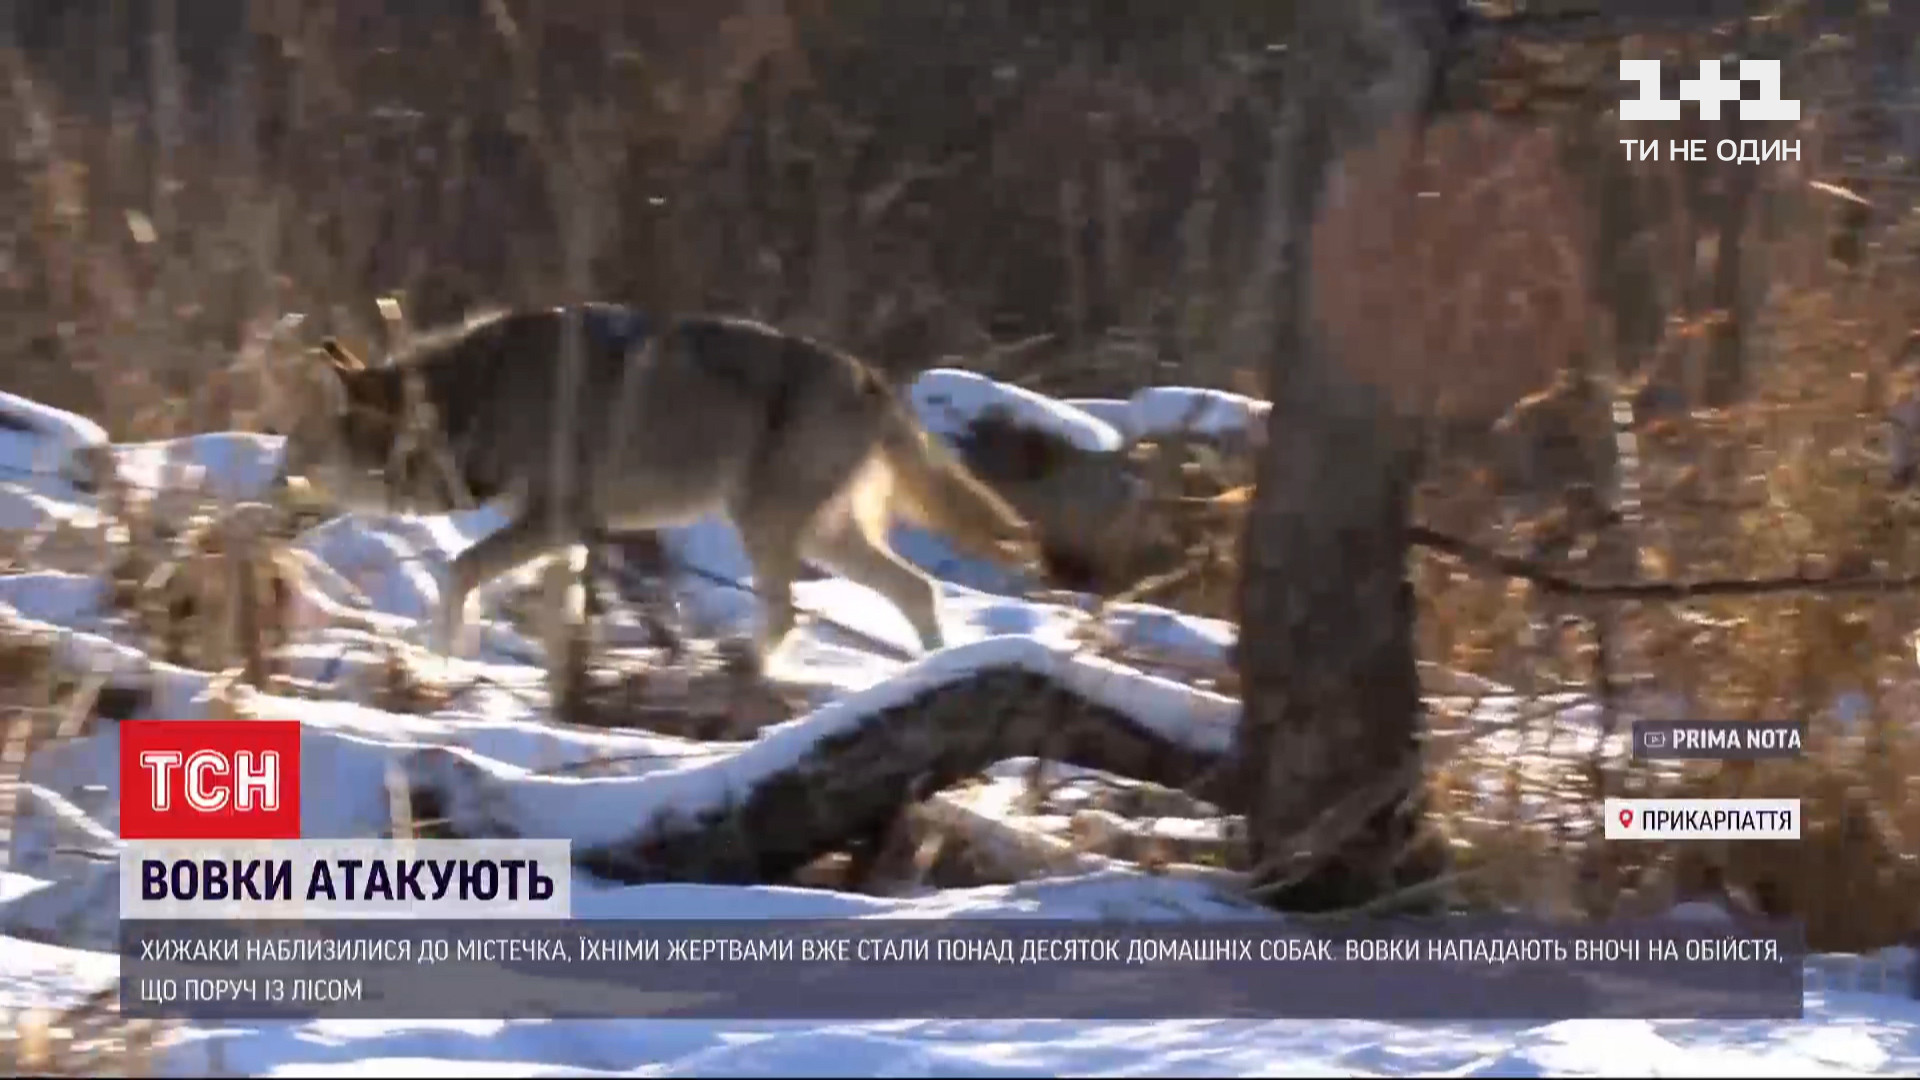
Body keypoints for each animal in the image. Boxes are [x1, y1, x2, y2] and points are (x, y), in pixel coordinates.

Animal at [264, 303, 1044, 664]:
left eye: (296, 458)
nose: (262, 497)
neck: (469, 404)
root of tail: (874, 379)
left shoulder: (554, 520)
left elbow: (457, 572)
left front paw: (444, 654)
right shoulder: (569, 535)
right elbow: (534, 600)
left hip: (767, 528)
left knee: (791, 616)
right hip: (818, 537)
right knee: (918, 589)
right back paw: (936, 671)